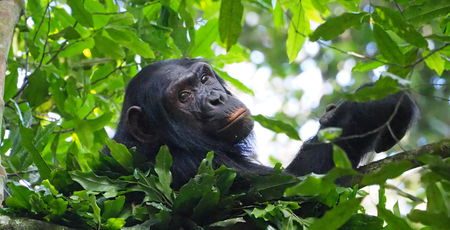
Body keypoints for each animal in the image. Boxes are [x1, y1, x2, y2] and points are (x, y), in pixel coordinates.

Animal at [113, 58, 418, 188]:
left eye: (204, 79)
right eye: (184, 96)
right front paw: (377, 103)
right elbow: (302, 186)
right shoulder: (203, 168)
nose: (215, 98)